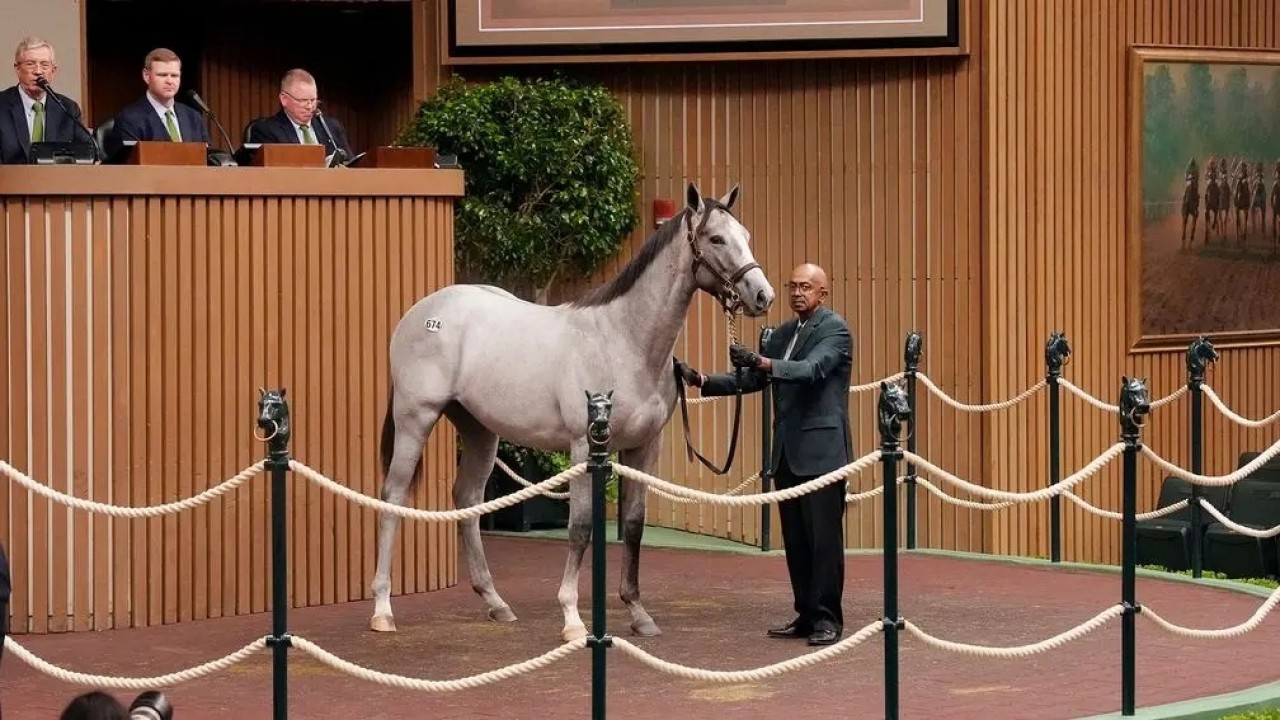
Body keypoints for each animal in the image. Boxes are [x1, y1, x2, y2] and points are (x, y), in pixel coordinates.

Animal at [366, 181, 773, 640]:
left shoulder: (644, 447)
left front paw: (638, 613)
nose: (763, 295)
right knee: (393, 496)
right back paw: (382, 609)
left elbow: (633, 524)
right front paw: (573, 618)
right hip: (415, 419)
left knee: (467, 498)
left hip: (479, 429)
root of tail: (421, 314)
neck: (625, 341)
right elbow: (579, 527)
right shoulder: (584, 446)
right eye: (716, 239)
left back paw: (495, 602)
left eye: (745, 236)